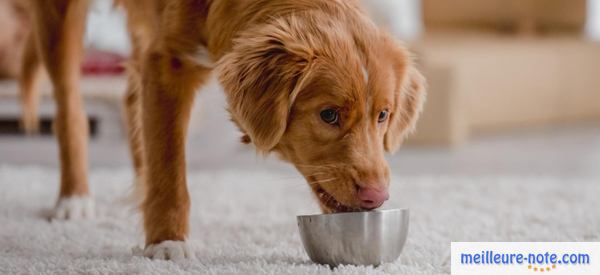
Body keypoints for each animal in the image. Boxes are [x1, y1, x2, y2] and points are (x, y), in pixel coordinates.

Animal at [21, 0, 424, 260]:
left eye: (383, 115)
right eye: (328, 115)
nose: (376, 195)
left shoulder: (156, 53)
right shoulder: (167, 62)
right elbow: (169, 163)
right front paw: (166, 242)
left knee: (131, 98)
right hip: (61, 17)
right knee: (69, 106)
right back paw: (74, 198)